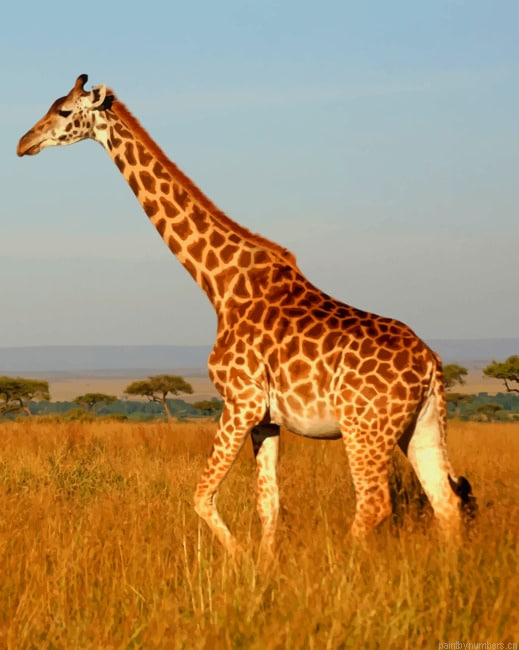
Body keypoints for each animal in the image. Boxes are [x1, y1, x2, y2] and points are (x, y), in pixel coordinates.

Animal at [17, 75, 476, 559]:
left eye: (65, 111)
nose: (23, 143)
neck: (220, 285)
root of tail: (431, 365)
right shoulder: (266, 419)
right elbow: (268, 503)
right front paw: (265, 565)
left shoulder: (240, 401)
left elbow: (202, 495)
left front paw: (239, 559)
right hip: (421, 424)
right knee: (444, 501)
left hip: (364, 428)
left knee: (374, 502)